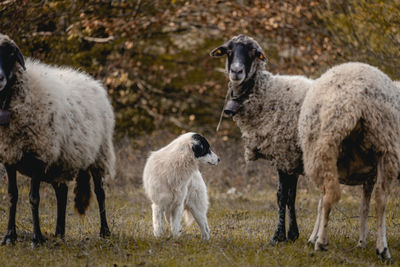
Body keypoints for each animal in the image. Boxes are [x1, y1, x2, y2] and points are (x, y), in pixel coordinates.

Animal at [0, 33, 115, 247]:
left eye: (10, 54)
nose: (0, 78)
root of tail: (91, 80)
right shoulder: (9, 156)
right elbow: (12, 196)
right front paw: (10, 236)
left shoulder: (39, 154)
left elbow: (33, 198)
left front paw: (36, 238)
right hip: (60, 162)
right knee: (61, 193)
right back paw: (59, 233)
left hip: (99, 155)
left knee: (100, 192)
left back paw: (105, 231)